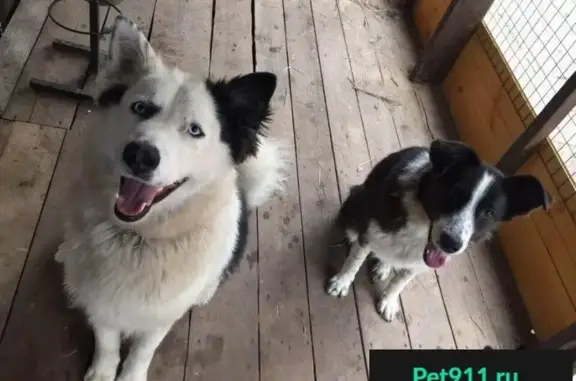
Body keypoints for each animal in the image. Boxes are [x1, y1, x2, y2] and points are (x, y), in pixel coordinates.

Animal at [55, 15, 284, 380]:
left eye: (194, 130)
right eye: (140, 107)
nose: (140, 156)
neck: (136, 238)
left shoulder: (162, 315)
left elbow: (142, 350)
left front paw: (131, 375)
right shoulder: (101, 301)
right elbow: (106, 341)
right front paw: (103, 372)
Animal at [328, 140, 548, 320]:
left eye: (488, 213)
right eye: (456, 192)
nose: (451, 244)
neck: (420, 225)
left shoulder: (416, 264)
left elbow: (400, 282)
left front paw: (389, 301)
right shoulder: (368, 233)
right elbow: (354, 262)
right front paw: (342, 282)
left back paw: (384, 266)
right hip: (355, 203)